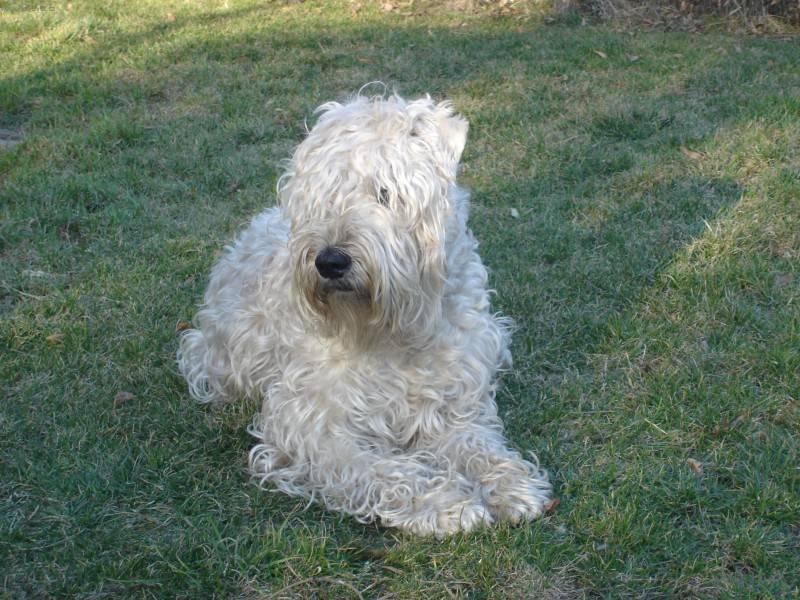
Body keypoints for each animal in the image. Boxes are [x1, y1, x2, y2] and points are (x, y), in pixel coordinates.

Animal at [177, 95, 552, 540]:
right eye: (320, 196)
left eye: (385, 193)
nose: (330, 261)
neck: (396, 332)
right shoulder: (314, 424)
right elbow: (379, 469)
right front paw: (444, 503)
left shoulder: (453, 402)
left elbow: (476, 445)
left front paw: (509, 483)